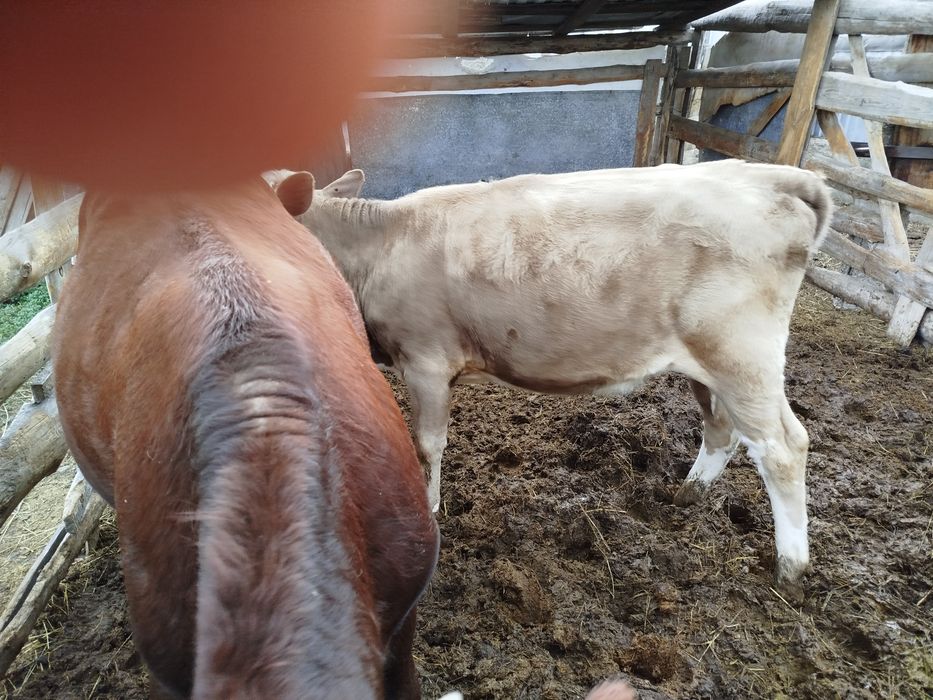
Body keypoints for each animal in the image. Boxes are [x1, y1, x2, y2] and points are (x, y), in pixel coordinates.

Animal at [269, 159, 832, 597]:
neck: (379, 245)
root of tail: (774, 175)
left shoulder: (425, 359)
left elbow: (427, 445)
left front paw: (428, 515)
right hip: (709, 364)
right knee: (722, 430)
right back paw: (685, 496)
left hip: (741, 355)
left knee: (783, 449)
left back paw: (791, 568)